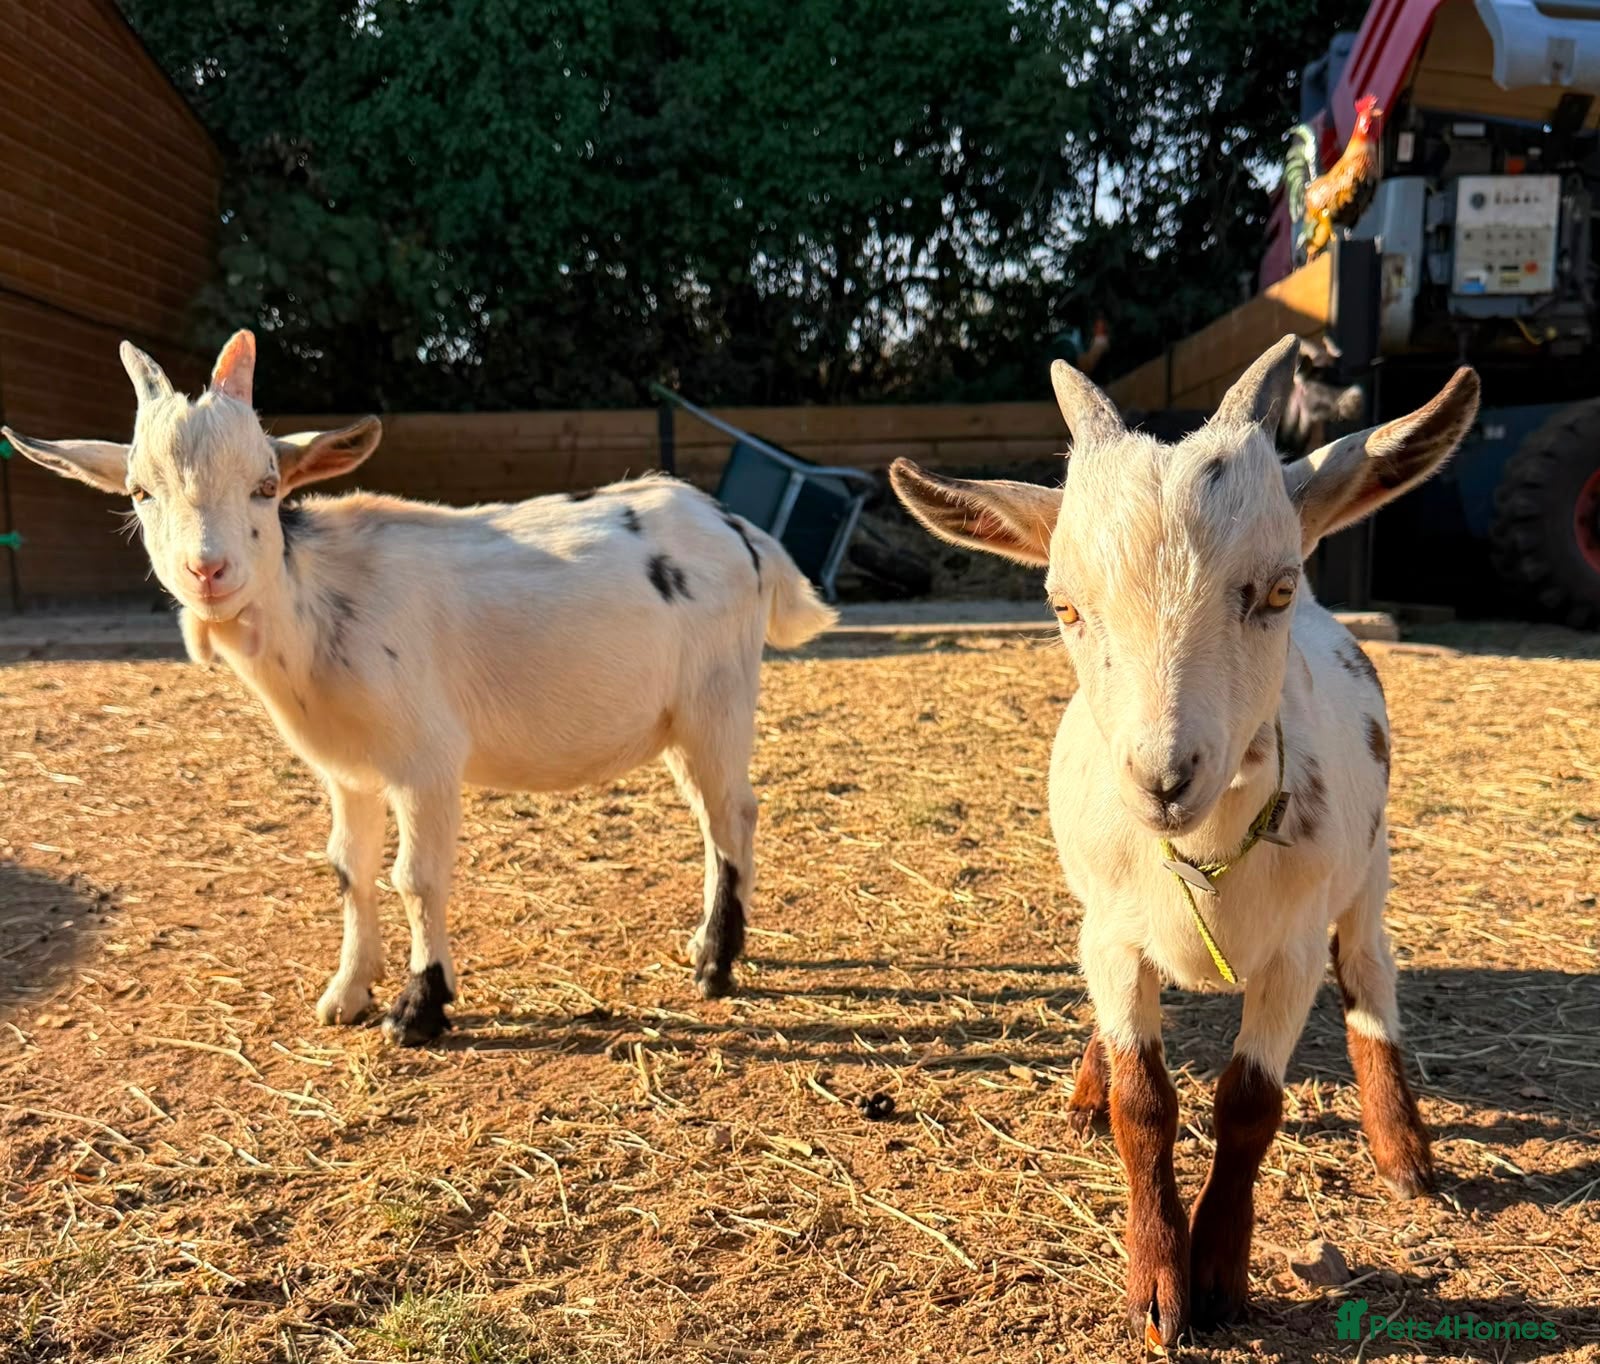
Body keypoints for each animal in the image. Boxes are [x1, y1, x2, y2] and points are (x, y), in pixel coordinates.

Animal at [5, 332, 836, 1045]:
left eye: (266, 487)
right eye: (140, 492)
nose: (208, 571)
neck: (319, 610)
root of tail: (736, 527)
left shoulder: (425, 762)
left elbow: (416, 878)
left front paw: (419, 1008)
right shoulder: (347, 770)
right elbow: (348, 867)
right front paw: (346, 992)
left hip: (716, 699)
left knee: (732, 814)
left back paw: (717, 966)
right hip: (679, 717)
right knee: (715, 818)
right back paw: (706, 945)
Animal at [889, 336, 1478, 1344]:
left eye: (1274, 589)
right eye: (1062, 606)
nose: (1163, 779)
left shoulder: (1290, 954)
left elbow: (1249, 1107)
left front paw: (1218, 1274)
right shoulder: (1110, 933)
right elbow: (1146, 1103)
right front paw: (1158, 1284)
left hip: (1370, 875)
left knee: (1370, 974)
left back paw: (1403, 1150)